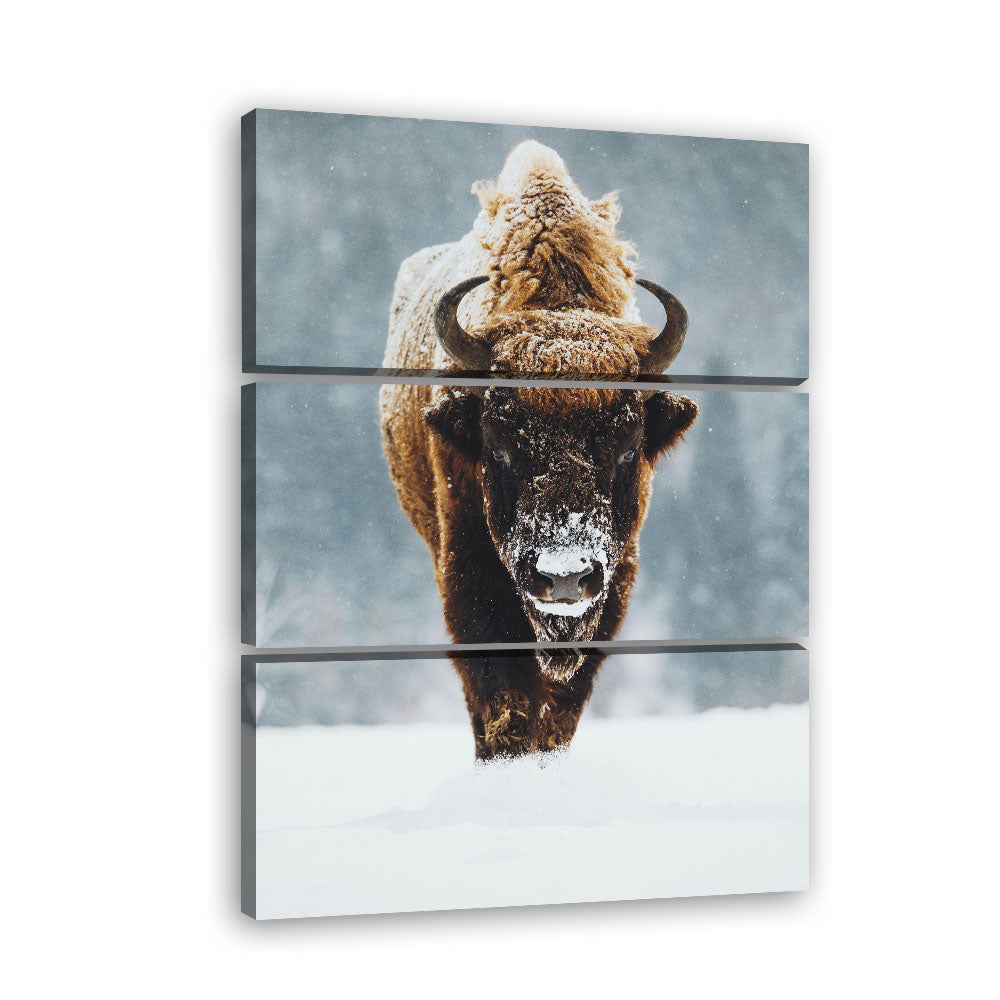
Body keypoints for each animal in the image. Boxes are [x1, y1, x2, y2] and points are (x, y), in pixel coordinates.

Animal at [379, 141, 697, 758]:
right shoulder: (471, 573)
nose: (565, 578)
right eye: (500, 446)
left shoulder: (613, 585)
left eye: (628, 447)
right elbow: (503, 695)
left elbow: (562, 705)